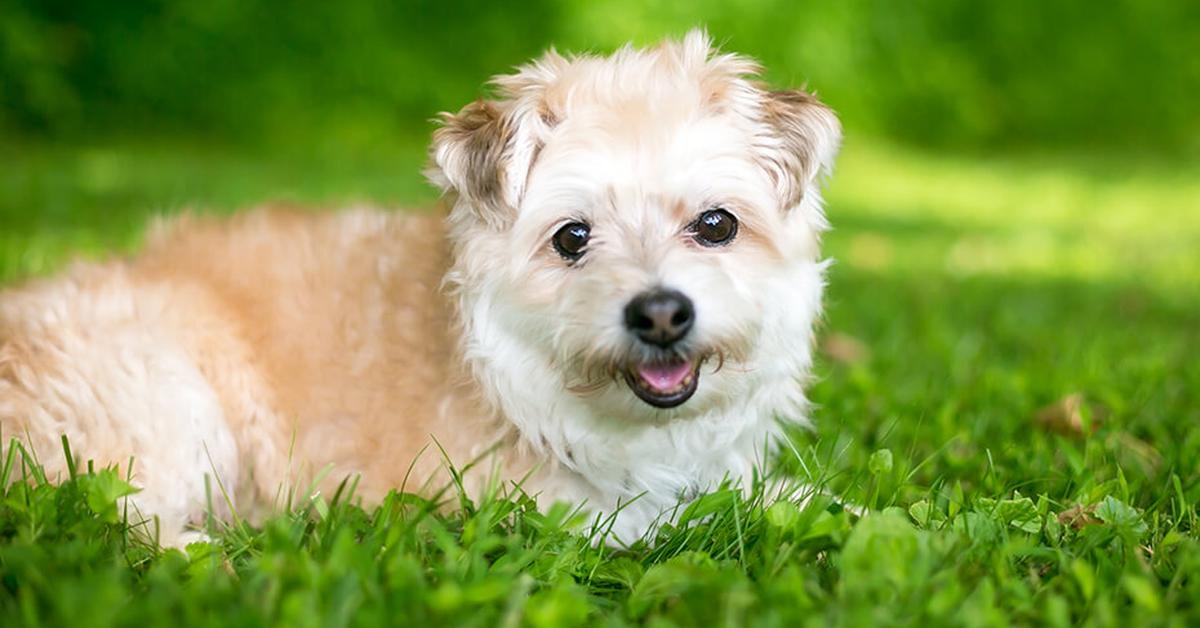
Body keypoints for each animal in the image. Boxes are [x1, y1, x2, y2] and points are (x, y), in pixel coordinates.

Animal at [0, 30, 840, 545]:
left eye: (716, 225)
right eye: (572, 238)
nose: (661, 314)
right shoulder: (533, 510)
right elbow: (662, 526)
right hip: (164, 400)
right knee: (128, 525)